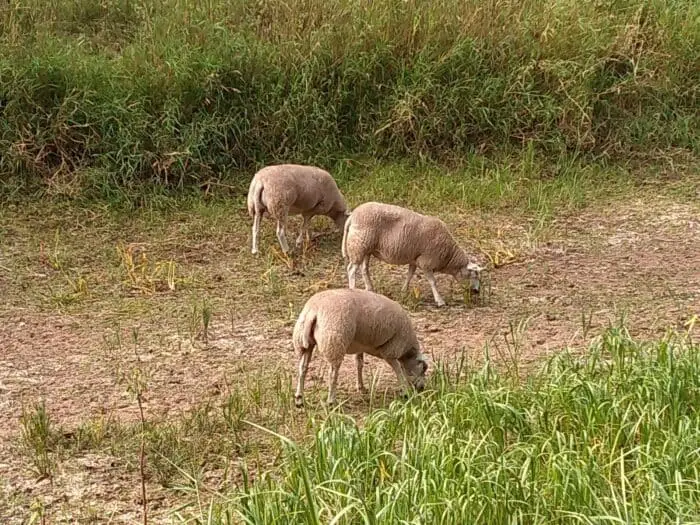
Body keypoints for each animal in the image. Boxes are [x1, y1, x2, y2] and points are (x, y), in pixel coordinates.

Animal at [290, 286, 426, 406]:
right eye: (424, 369)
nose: (422, 388)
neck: (407, 351)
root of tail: (314, 310)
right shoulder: (391, 350)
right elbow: (398, 370)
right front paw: (405, 392)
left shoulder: (361, 346)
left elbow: (359, 363)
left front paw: (361, 386)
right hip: (334, 342)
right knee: (332, 374)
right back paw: (331, 401)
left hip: (304, 342)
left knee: (302, 368)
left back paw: (299, 398)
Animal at [342, 201, 484, 308]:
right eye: (474, 274)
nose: (477, 291)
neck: (449, 255)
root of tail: (352, 216)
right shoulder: (426, 262)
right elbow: (433, 282)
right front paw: (439, 301)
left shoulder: (414, 260)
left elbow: (409, 275)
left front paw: (404, 290)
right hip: (359, 245)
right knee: (351, 269)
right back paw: (353, 289)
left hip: (366, 248)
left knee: (364, 269)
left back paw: (370, 289)